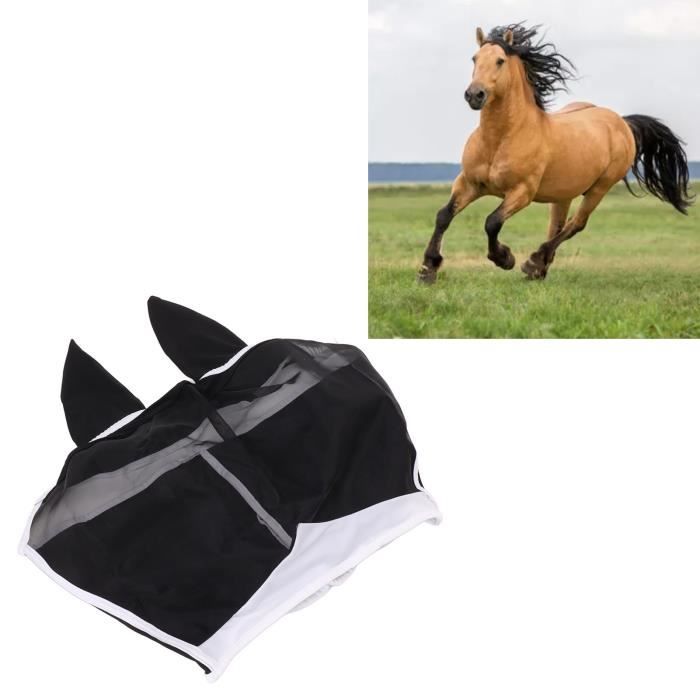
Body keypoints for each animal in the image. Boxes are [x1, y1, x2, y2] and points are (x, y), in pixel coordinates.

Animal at [417, 23, 694, 283]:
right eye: (474, 59)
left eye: (500, 60)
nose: (475, 95)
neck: (500, 139)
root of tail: (622, 122)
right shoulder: (469, 183)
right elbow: (443, 215)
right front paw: (428, 268)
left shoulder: (522, 192)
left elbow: (492, 222)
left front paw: (504, 258)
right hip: (564, 194)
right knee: (557, 226)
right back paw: (539, 269)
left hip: (600, 188)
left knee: (576, 224)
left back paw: (533, 262)